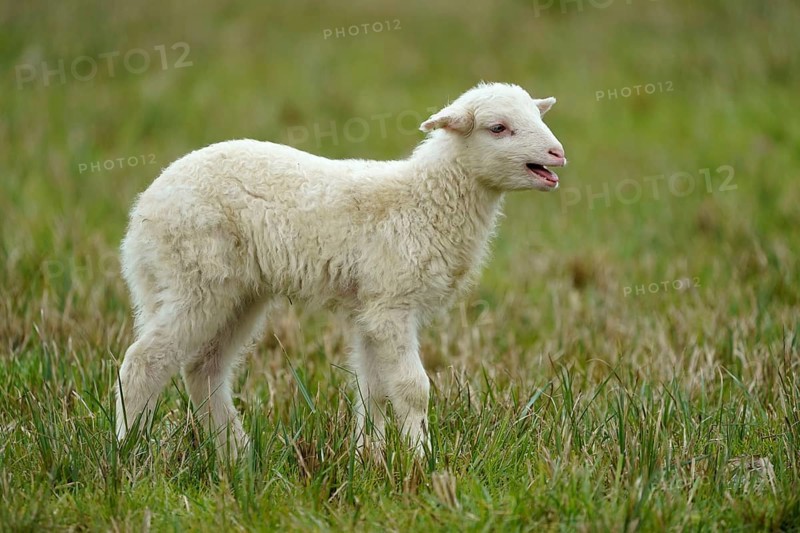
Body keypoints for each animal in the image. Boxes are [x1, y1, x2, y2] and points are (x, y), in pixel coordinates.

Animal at [115, 82, 567, 457]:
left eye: (537, 116)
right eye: (498, 128)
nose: (557, 154)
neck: (423, 201)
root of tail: (141, 214)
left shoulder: (370, 308)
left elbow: (374, 391)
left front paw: (370, 458)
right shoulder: (391, 304)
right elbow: (412, 389)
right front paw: (424, 461)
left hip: (236, 292)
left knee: (203, 369)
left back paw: (238, 457)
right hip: (195, 278)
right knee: (143, 362)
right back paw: (128, 453)